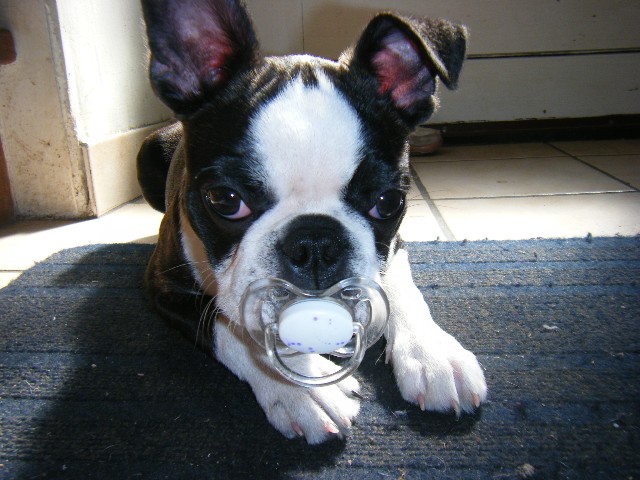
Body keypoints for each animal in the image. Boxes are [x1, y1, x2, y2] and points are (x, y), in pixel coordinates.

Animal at [137, 0, 487, 444]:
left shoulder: (394, 245)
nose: (316, 243)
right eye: (225, 200)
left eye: (388, 202)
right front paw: (299, 388)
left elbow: (401, 287)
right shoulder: (164, 285)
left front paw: (434, 354)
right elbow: (228, 326)